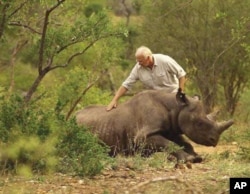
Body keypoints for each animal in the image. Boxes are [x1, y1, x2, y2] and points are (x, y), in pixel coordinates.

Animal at [75, 89, 233, 162]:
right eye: (199, 123)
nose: (214, 141)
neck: (176, 107)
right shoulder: (143, 135)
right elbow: (169, 144)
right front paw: (188, 159)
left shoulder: (172, 129)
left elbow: (185, 143)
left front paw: (197, 157)